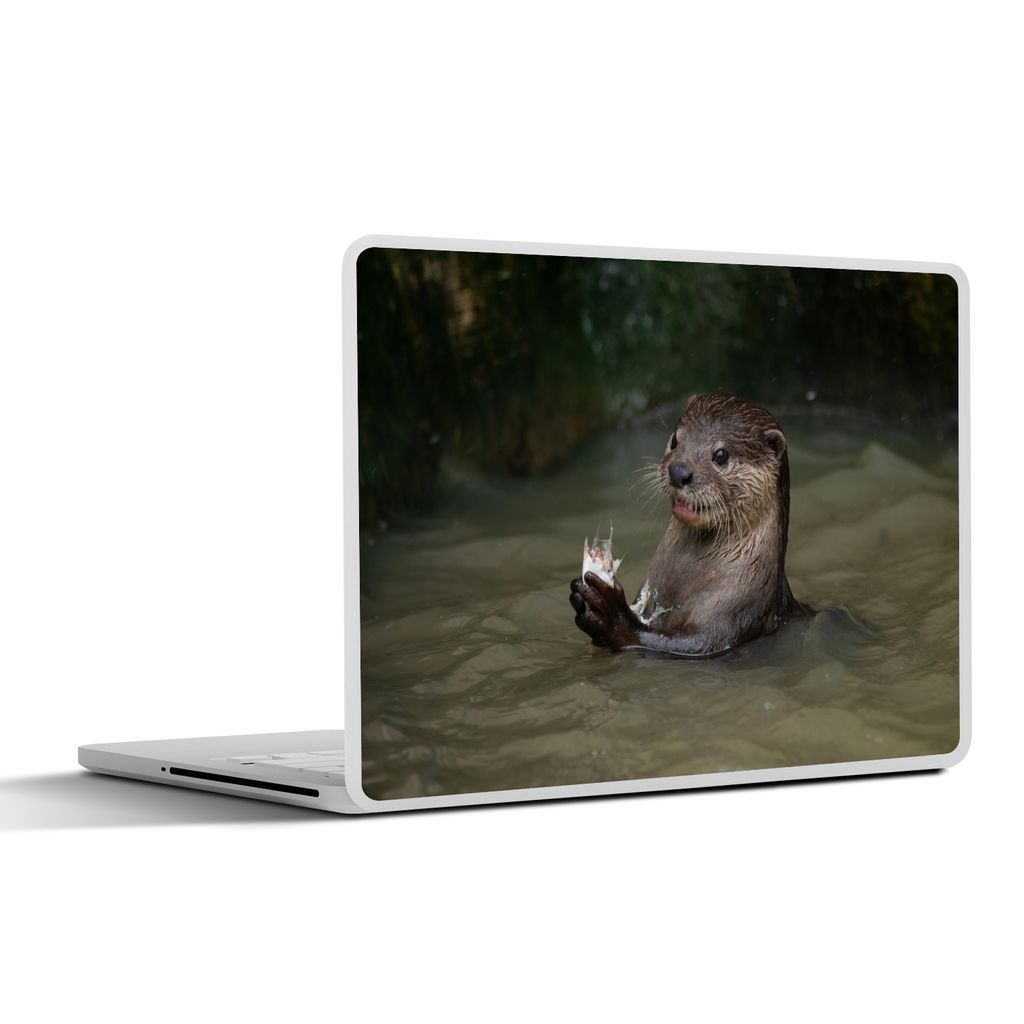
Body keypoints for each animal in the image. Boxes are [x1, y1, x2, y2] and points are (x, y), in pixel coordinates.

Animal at [569, 393, 810, 656]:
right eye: (675, 440)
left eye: (721, 455)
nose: (678, 471)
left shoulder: (735, 611)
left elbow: (689, 643)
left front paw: (613, 616)